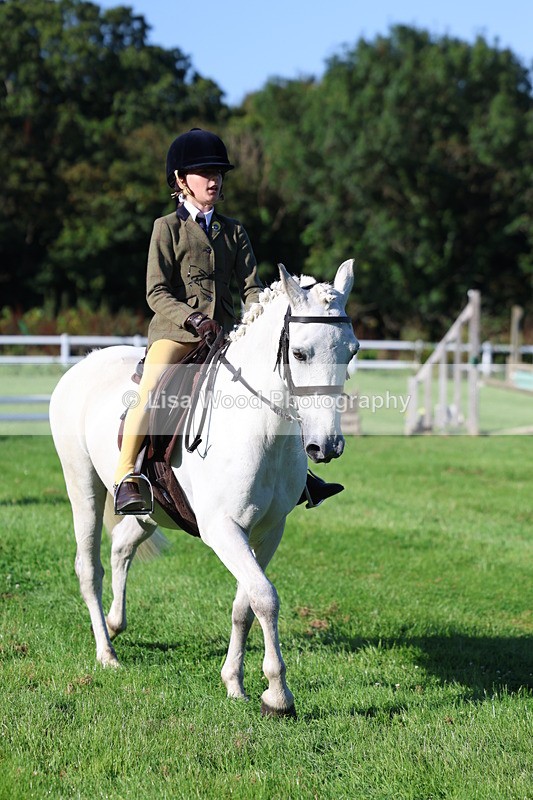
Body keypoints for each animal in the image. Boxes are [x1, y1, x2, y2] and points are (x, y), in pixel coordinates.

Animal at [49, 261, 359, 717]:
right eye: (300, 353)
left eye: (352, 351)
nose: (327, 446)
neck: (262, 431)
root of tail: (83, 364)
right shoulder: (224, 530)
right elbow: (265, 597)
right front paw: (278, 695)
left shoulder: (268, 532)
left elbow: (244, 604)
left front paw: (235, 683)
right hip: (83, 485)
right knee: (89, 568)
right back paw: (106, 653)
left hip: (151, 508)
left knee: (122, 544)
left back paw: (115, 623)